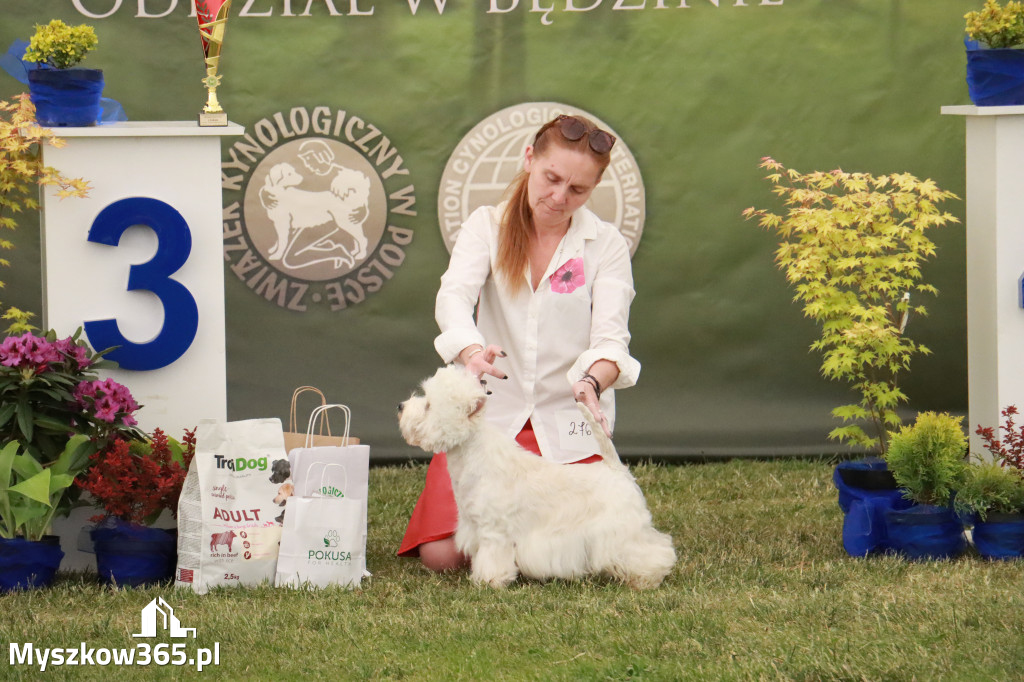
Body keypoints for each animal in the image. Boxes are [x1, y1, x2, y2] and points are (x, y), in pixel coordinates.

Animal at [401, 364, 679, 585]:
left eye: (428, 406)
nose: (400, 406)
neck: (471, 452)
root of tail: (615, 467)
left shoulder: (494, 531)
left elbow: (492, 558)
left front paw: (489, 581)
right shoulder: (475, 526)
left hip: (621, 528)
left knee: (652, 549)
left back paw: (648, 577)